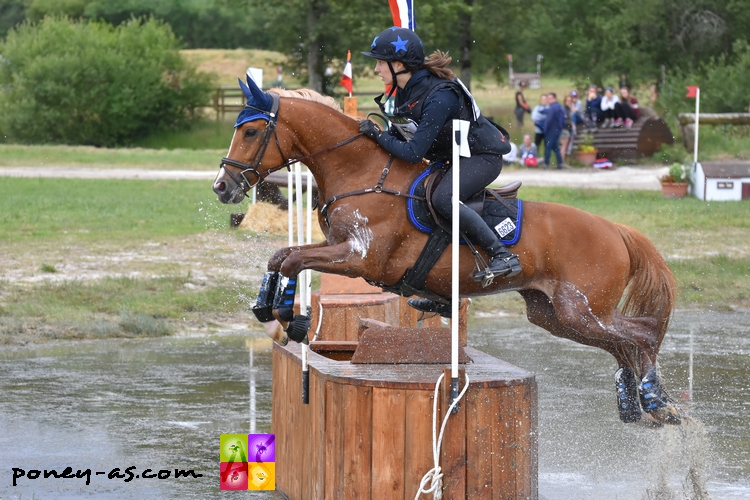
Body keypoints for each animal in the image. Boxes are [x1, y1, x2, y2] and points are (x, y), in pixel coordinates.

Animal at [212, 77, 680, 426]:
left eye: (250, 131)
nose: (221, 186)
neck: (361, 171)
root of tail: (616, 230)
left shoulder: (360, 258)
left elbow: (292, 258)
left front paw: (291, 317)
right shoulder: (336, 247)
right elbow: (281, 255)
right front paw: (267, 305)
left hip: (579, 309)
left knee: (641, 335)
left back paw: (656, 400)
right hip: (552, 314)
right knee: (624, 344)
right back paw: (637, 404)